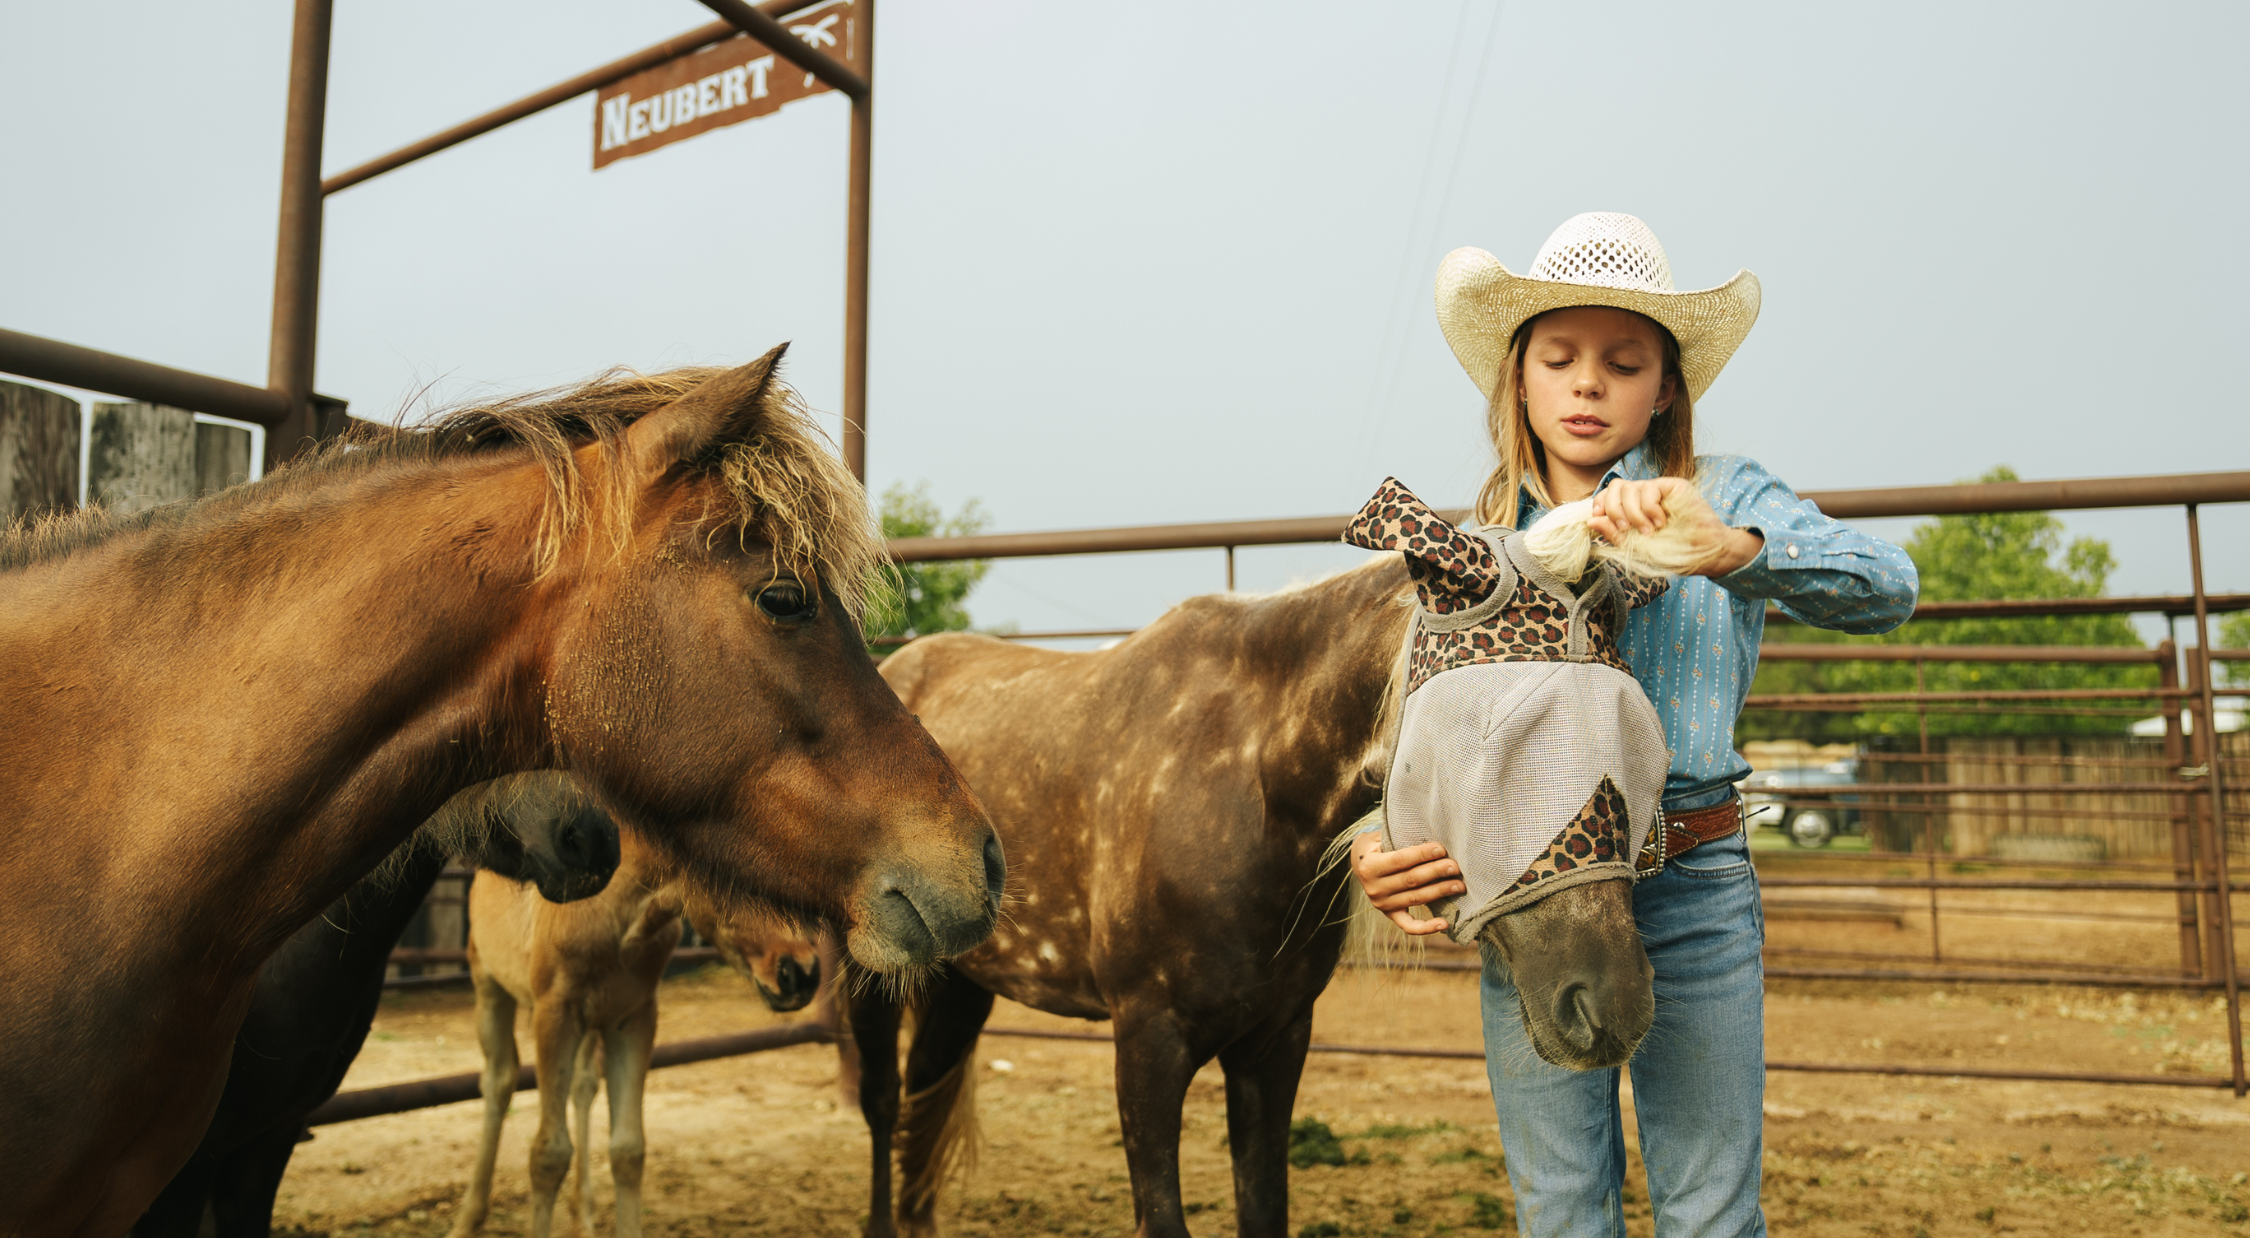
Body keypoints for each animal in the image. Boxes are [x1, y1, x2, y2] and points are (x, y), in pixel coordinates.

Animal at [850, 556, 1651, 1238]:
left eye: (1638, 737)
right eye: (1483, 745)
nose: (1612, 1006)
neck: (1251, 783)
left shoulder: (1275, 1040)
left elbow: (1264, 1210)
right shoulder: (1147, 1042)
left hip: (960, 986)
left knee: (925, 1096)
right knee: (885, 1104)